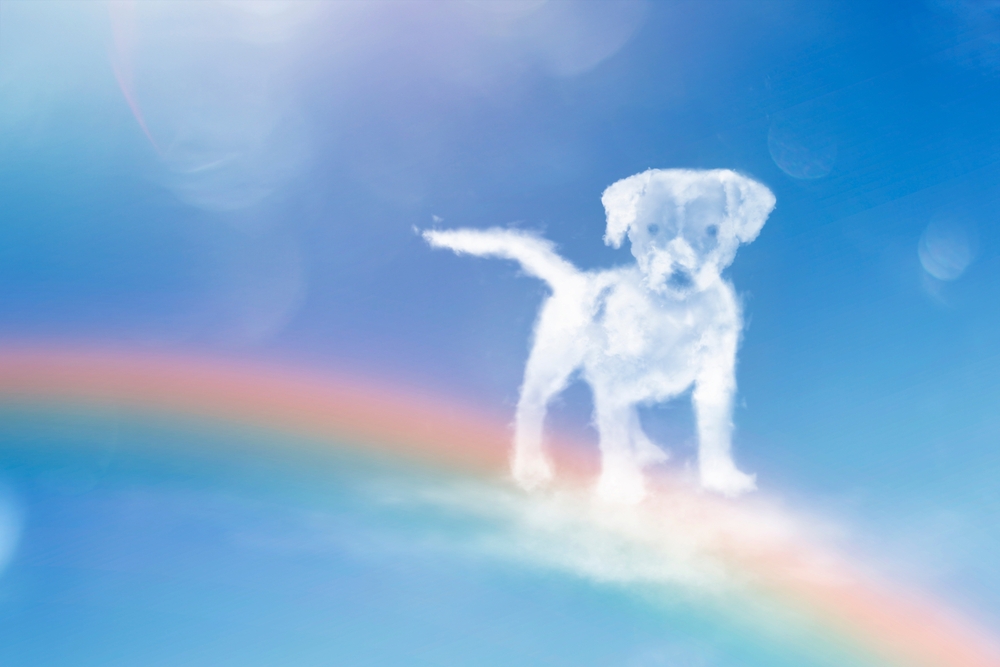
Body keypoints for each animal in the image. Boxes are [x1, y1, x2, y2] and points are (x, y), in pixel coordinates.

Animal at [426, 170, 776, 504]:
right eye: (651, 228)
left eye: (713, 231)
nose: (678, 274)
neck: (675, 311)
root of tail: (573, 282)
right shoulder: (615, 382)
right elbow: (615, 439)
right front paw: (621, 487)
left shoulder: (713, 379)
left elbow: (715, 433)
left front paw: (721, 477)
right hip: (553, 364)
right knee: (531, 408)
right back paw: (529, 466)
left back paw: (642, 447)